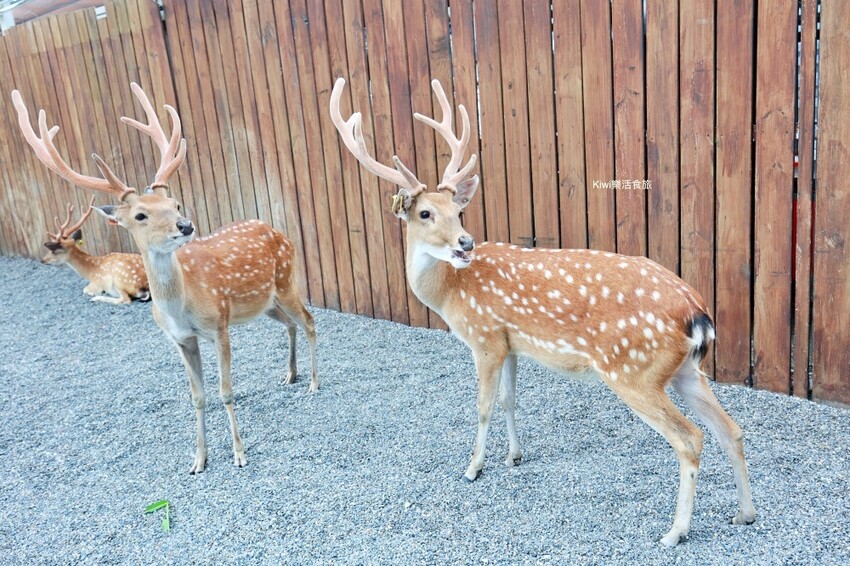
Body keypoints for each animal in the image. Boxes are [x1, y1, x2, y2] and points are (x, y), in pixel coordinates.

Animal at [12, 83, 318, 474]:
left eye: (175, 204)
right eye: (140, 215)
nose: (185, 225)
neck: (180, 308)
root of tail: (279, 232)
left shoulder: (218, 325)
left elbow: (225, 391)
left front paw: (239, 453)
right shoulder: (180, 340)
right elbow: (198, 397)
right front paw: (199, 459)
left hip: (287, 279)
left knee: (308, 320)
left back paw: (313, 383)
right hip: (265, 303)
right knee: (290, 323)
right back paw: (289, 374)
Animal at [330, 77, 755, 546]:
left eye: (458, 211)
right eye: (425, 213)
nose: (465, 242)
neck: (449, 293)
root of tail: (698, 314)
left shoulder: (484, 338)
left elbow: (482, 405)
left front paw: (474, 467)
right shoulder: (511, 343)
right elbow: (509, 399)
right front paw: (515, 456)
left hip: (633, 371)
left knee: (690, 438)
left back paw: (675, 532)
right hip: (685, 371)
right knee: (731, 430)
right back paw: (745, 514)